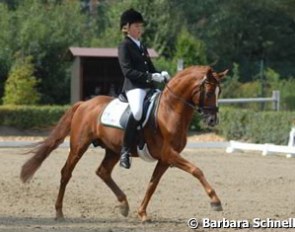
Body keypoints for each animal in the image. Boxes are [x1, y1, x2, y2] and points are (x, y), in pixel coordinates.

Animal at [20, 65, 229, 221]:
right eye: (209, 91)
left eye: (220, 91)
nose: (213, 120)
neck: (170, 111)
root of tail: (84, 104)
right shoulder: (169, 154)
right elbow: (196, 170)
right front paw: (215, 201)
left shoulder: (165, 159)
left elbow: (153, 184)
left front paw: (142, 213)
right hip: (79, 146)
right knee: (66, 173)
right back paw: (59, 212)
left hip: (113, 150)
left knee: (102, 171)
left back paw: (123, 205)